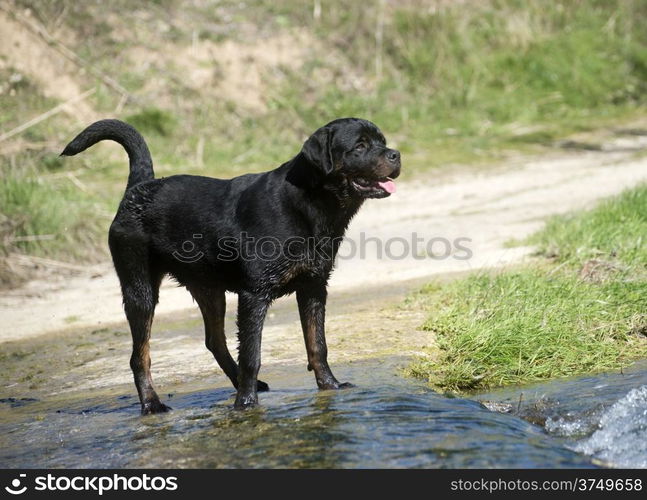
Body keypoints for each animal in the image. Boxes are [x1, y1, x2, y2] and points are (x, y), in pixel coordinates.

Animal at [63, 119, 402, 412]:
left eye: (382, 141)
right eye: (359, 146)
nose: (395, 154)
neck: (311, 204)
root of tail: (139, 187)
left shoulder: (314, 287)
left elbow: (317, 343)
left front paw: (329, 385)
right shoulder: (254, 294)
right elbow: (252, 353)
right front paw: (246, 404)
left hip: (209, 288)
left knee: (214, 340)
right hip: (140, 288)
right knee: (140, 355)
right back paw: (152, 404)